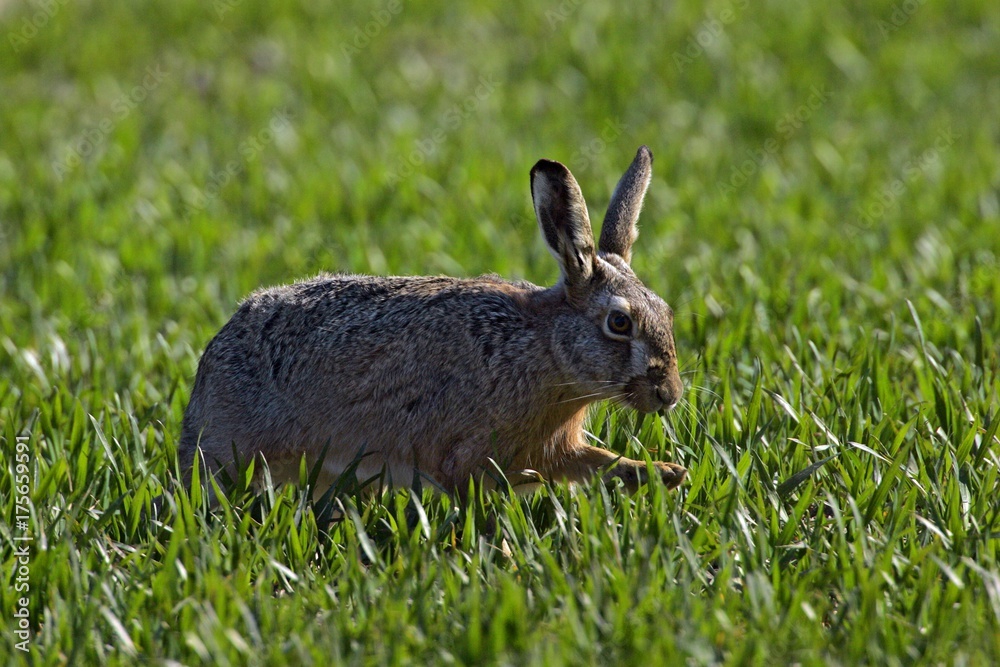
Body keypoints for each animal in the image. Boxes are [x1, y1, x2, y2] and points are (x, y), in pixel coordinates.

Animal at [178, 145, 686, 503]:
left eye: (666, 312)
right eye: (619, 322)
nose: (670, 395)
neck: (547, 353)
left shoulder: (556, 449)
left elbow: (597, 461)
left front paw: (664, 473)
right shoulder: (465, 458)